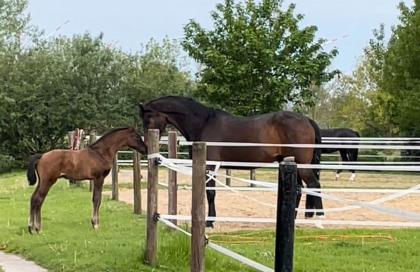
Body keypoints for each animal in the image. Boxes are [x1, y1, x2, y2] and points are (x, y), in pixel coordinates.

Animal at [139, 96, 324, 227]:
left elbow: (210, 193)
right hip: (292, 164)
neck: (203, 123)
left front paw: (209, 221)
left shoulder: (210, 166)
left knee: (314, 185)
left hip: (302, 164)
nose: (146, 147)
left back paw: (319, 218)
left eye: (147, 120)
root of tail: (307, 120)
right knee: (299, 189)